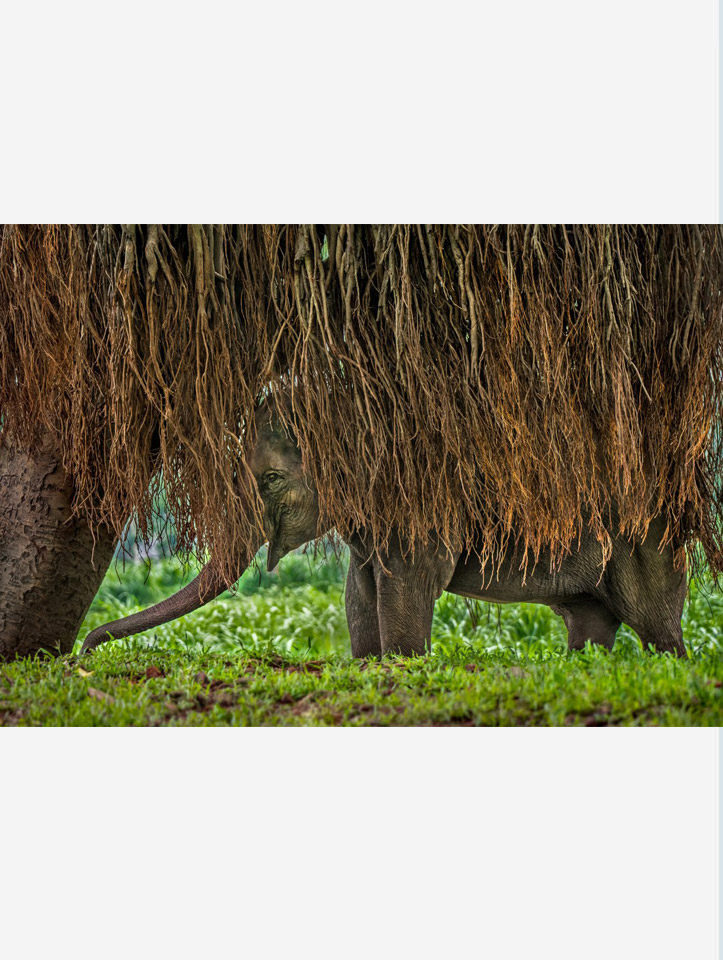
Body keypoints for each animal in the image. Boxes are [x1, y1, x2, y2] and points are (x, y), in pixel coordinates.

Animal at [82, 404, 688, 660]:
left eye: (272, 479)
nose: (84, 650)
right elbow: (361, 588)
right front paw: (370, 666)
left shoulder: (420, 509)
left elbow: (407, 586)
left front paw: (403, 665)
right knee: (591, 625)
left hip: (646, 546)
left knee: (657, 625)